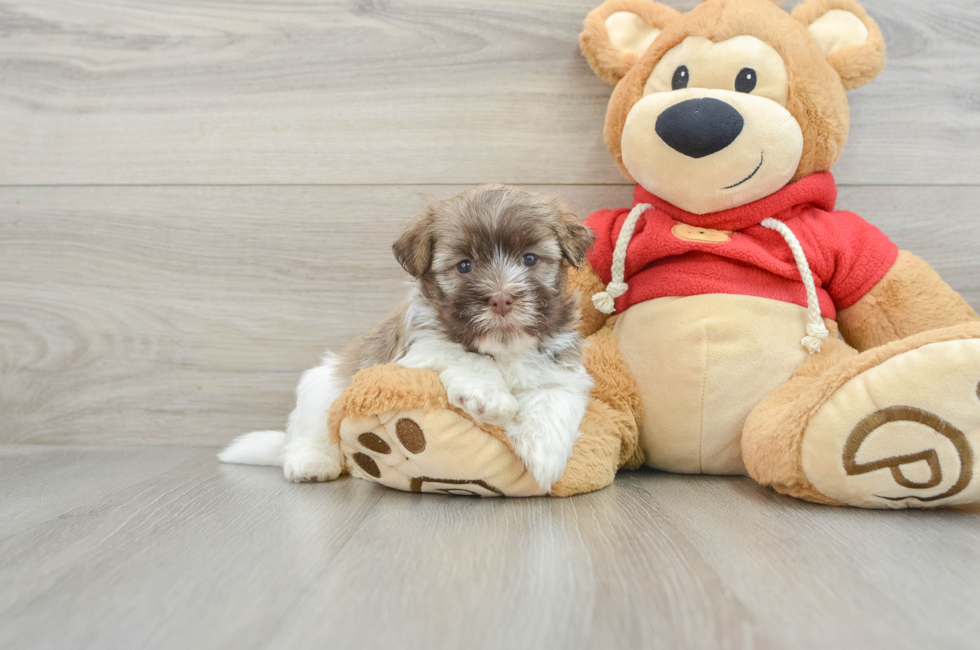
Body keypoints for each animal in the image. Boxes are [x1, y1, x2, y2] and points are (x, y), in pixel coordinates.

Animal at [218, 185, 592, 488]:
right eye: (464, 266)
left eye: (530, 259)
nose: (501, 299)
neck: (504, 348)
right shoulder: (416, 349)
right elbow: (464, 356)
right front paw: (491, 397)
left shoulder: (561, 362)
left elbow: (557, 394)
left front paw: (544, 452)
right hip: (320, 389)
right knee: (310, 434)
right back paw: (312, 462)